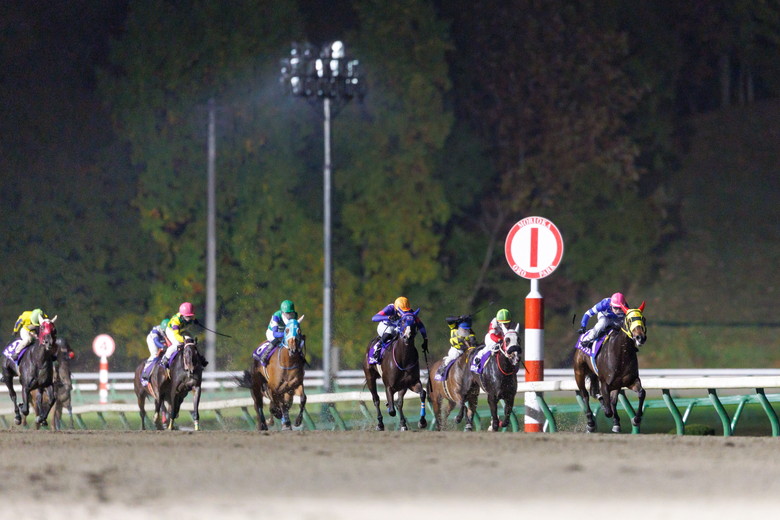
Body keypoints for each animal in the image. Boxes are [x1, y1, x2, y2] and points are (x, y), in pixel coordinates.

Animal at [573, 303, 648, 433]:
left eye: (643, 319)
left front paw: (635, 419)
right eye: (629, 320)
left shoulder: (629, 381)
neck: (621, 354)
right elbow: (608, 411)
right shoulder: (605, 383)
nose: (640, 338)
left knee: (602, 397)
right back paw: (590, 422)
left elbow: (641, 393)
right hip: (579, 373)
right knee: (585, 395)